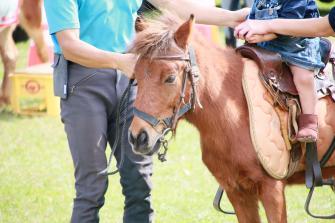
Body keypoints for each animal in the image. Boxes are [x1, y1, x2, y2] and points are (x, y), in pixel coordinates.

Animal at [128, 13, 335, 223]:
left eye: (170, 77)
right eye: (135, 76)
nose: (138, 137)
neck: (234, 113)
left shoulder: (272, 189)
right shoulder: (237, 191)